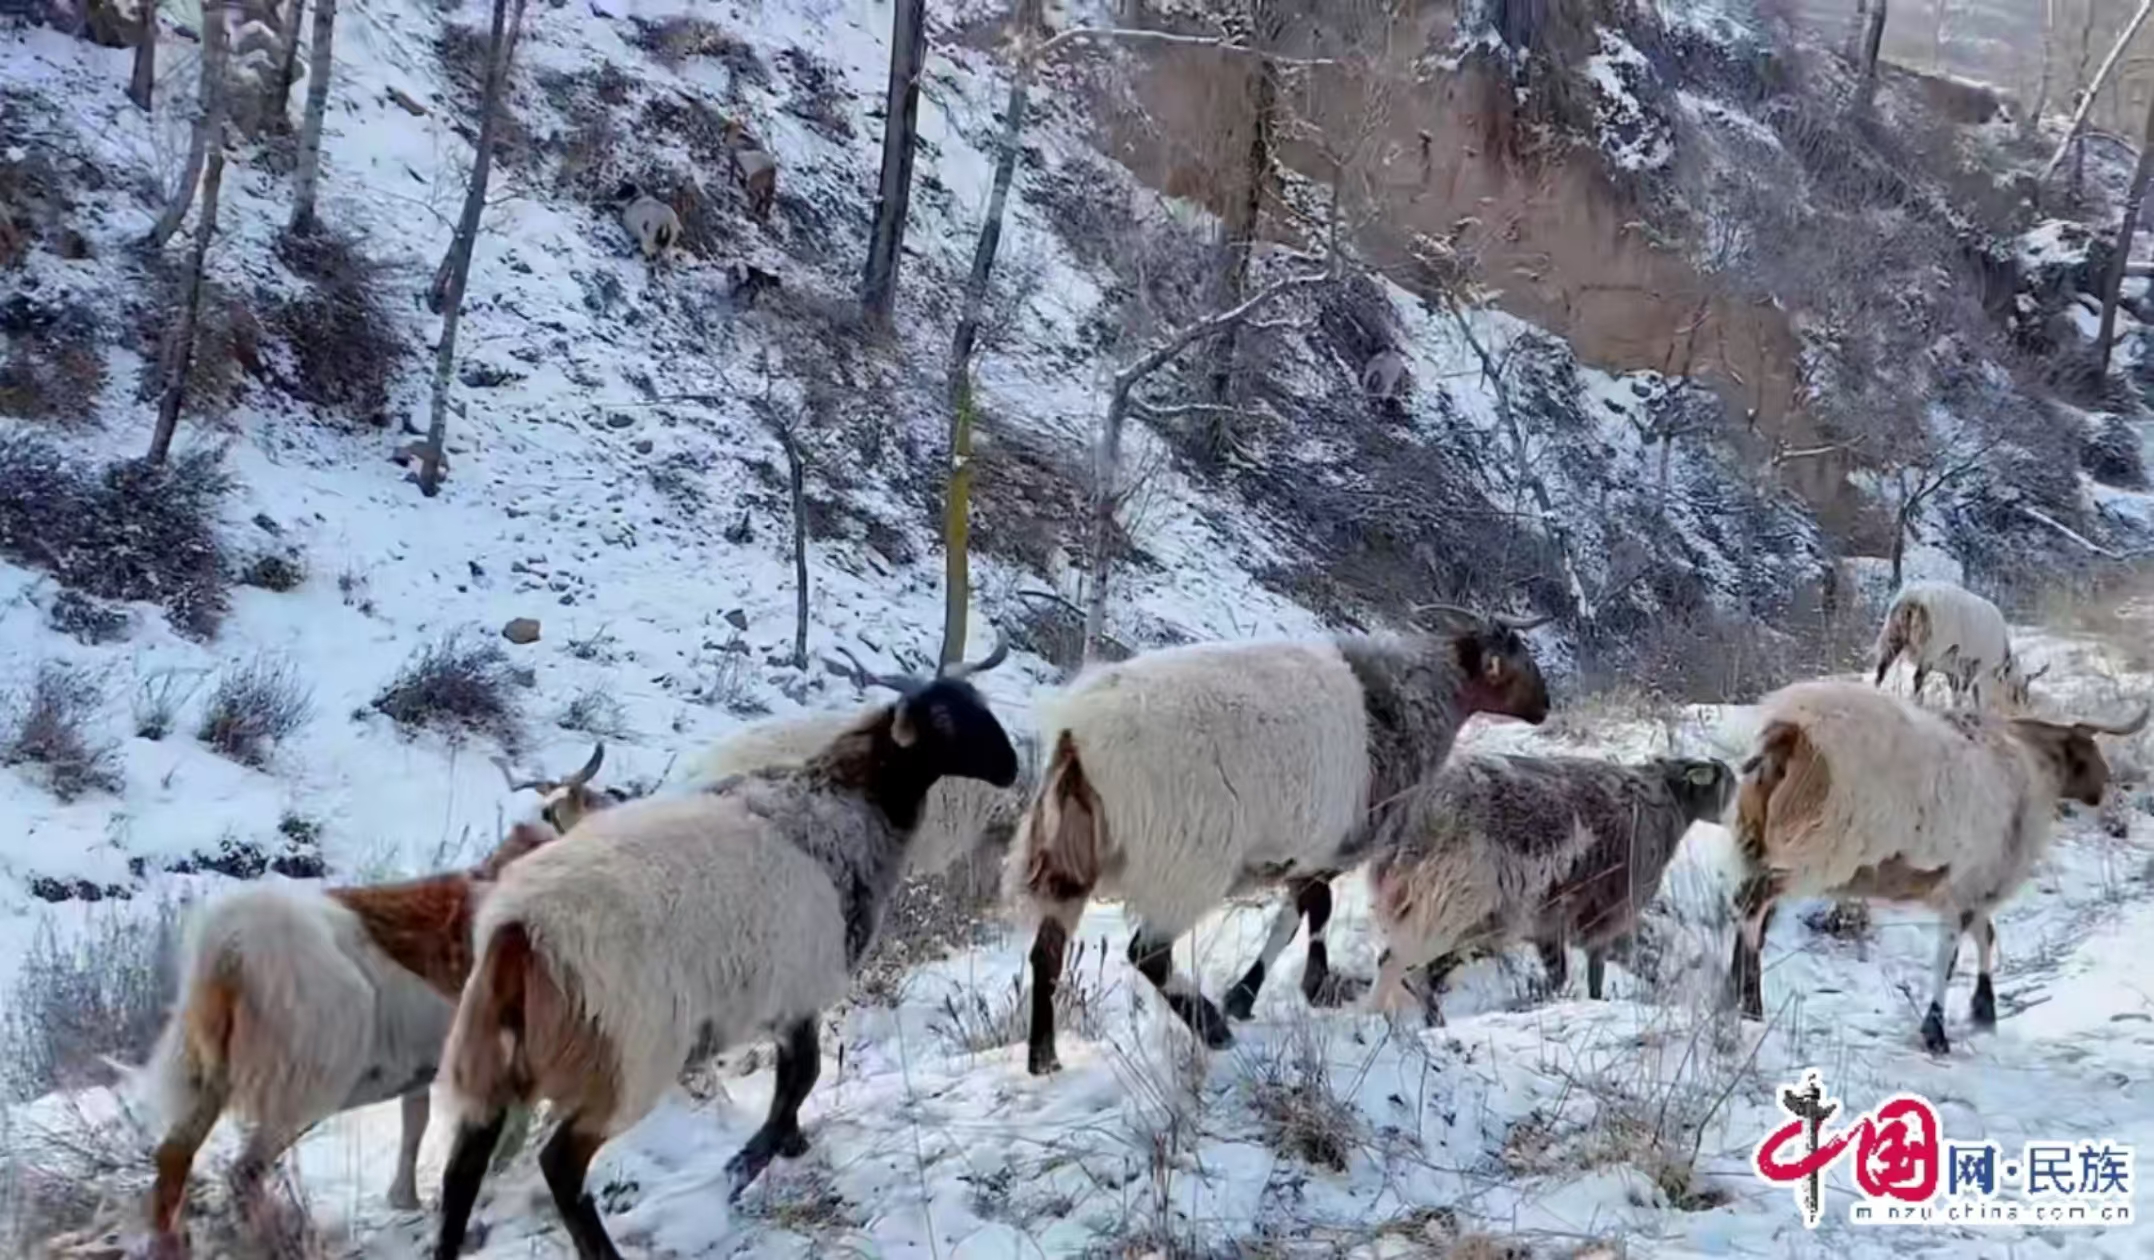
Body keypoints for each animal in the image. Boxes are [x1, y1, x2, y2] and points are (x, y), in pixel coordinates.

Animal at [432, 641, 1020, 1249]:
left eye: (977, 700)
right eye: (943, 719)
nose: (1011, 766)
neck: (846, 800)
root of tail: (518, 930)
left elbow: (795, 1080)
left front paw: (781, 1145)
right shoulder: (798, 989)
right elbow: (801, 1077)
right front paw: (750, 1160)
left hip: (495, 1062)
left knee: (463, 1171)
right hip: (630, 1058)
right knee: (561, 1165)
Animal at [1003, 603, 1550, 1076]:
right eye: (1519, 657)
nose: (1546, 707)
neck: (1410, 702)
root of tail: (1076, 733)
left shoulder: (1301, 853)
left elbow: (1296, 916)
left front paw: (1253, 993)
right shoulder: (1325, 845)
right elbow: (1312, 912)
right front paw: (1295, 987)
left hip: (1069, 854)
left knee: (1047, 954)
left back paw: (1044, 1058)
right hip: (1184, 859)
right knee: (1147, 952)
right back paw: (1210, 1027)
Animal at [1369, 753, 1740, 1016]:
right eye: (1730, 784)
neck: (1666, 803)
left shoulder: (1548, 922)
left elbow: (1559, 975)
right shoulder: (1604, 915)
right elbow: (1593, 973)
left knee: (1413, 973)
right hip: (1443, 906)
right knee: (1400, 966)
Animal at [1723, 676, 2145, 1051]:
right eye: (2088, 753)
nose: (2107, 786)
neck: (2029, 767)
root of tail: (1789, 731)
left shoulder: (1971, 884)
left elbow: (1984, 935)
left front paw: (1982, 1010)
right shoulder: (1968, 884)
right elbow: (1950, 953)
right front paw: (1938, 1030)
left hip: (1757, 842)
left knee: (1751, 912)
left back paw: (1732, 993)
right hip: (1814, 849)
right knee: (1752, 906)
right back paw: (1750, 1004)